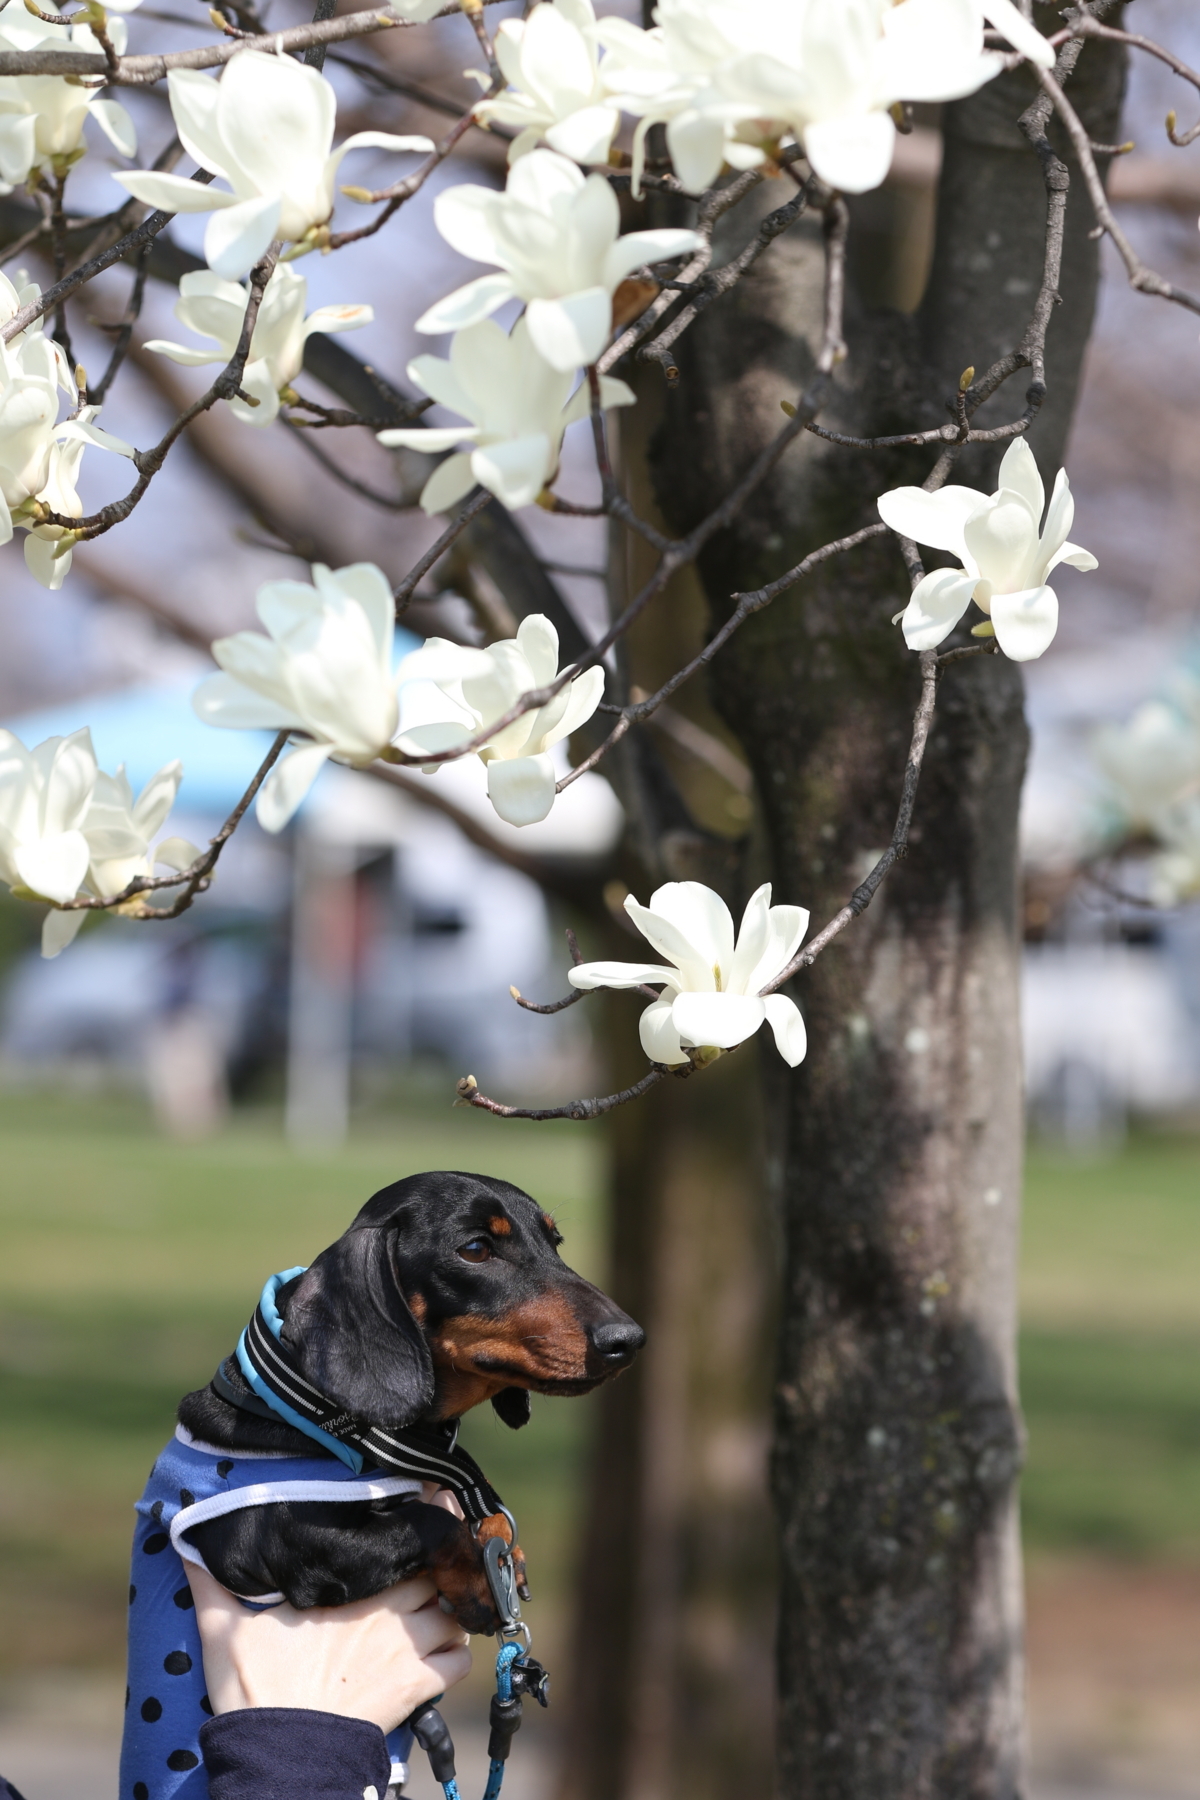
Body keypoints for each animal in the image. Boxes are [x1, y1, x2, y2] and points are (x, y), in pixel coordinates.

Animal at [169, 1166, 647, 1634]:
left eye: (555, 1242)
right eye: (476, 1249)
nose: (629, 1340)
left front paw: (503, 1552)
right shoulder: (282, 1542)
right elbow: (433, 1521)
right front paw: (479, 1579)